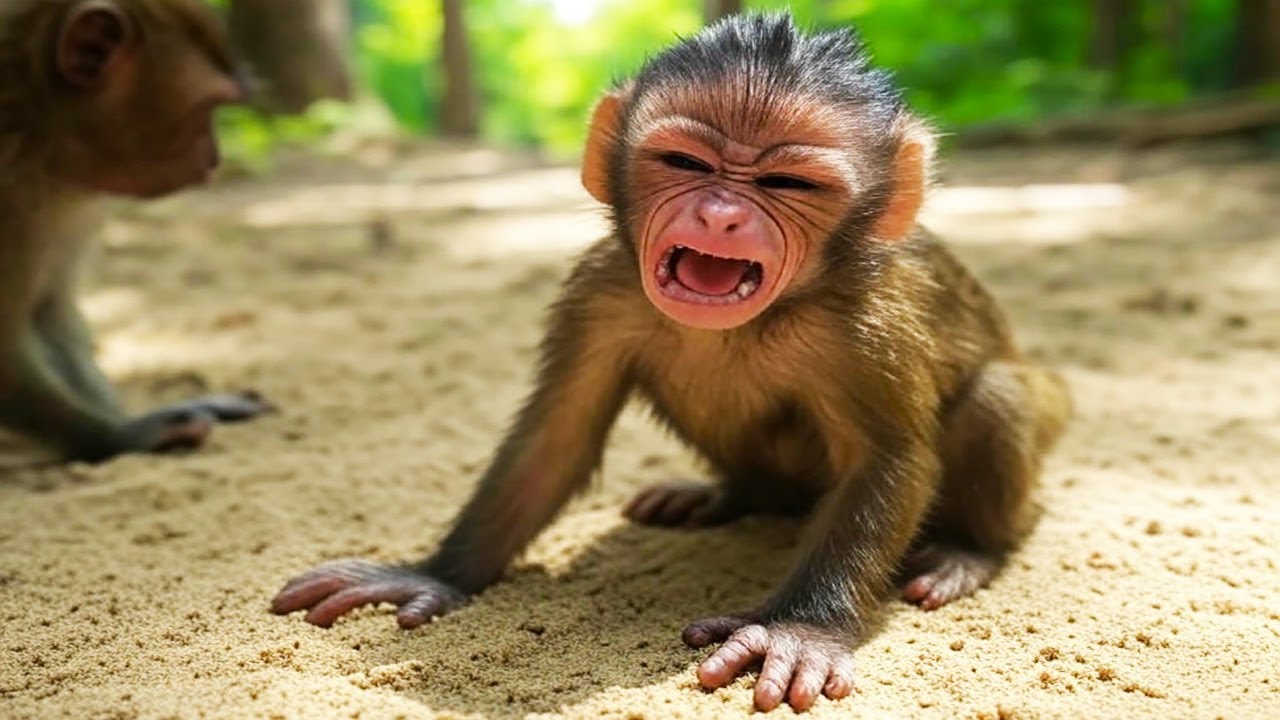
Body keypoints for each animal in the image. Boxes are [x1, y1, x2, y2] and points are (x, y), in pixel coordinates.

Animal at [0, 0, 272, 465]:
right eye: (206, 108)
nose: (215, 159)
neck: (37, 116)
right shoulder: (10, 186)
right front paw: (117, 436)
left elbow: (48, 310)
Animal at [273, 14, 1072, 712]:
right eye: (685, 163)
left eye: (788, 185)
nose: (721, 215)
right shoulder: (601, 291)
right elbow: (555, 437)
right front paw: (432, 574)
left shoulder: (866, 325)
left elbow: (890, 458)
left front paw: (801, 631)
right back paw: (723, 495)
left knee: (997, 396)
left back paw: (970, 550)